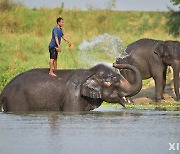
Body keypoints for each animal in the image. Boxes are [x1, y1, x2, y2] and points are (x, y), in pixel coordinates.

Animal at [0, 63, 142, 112]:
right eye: (114, 81)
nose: (115, 63)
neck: (89, 72)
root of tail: (3, 91)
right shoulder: (72, 95)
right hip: (16, 100)